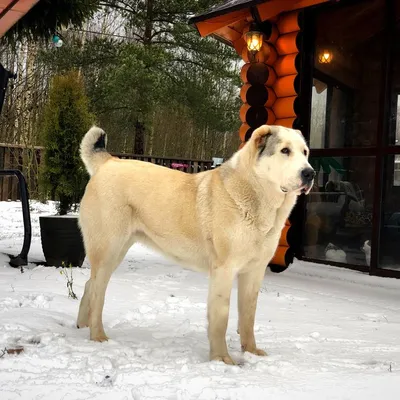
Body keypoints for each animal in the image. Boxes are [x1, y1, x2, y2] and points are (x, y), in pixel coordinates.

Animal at [77, 125, 316, 366]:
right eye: (285, 151)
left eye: (305, 152)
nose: (310, 173)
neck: (256, 196)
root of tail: (108, 161)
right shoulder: (224, 270)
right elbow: (221, 317)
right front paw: (222, 359)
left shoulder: (254, 272)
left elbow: (248, 315)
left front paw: (251, 352)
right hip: (108, 249)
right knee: (98, 292)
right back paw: (97, 335)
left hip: (117, 251)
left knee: (89, 284)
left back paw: (82, 325)